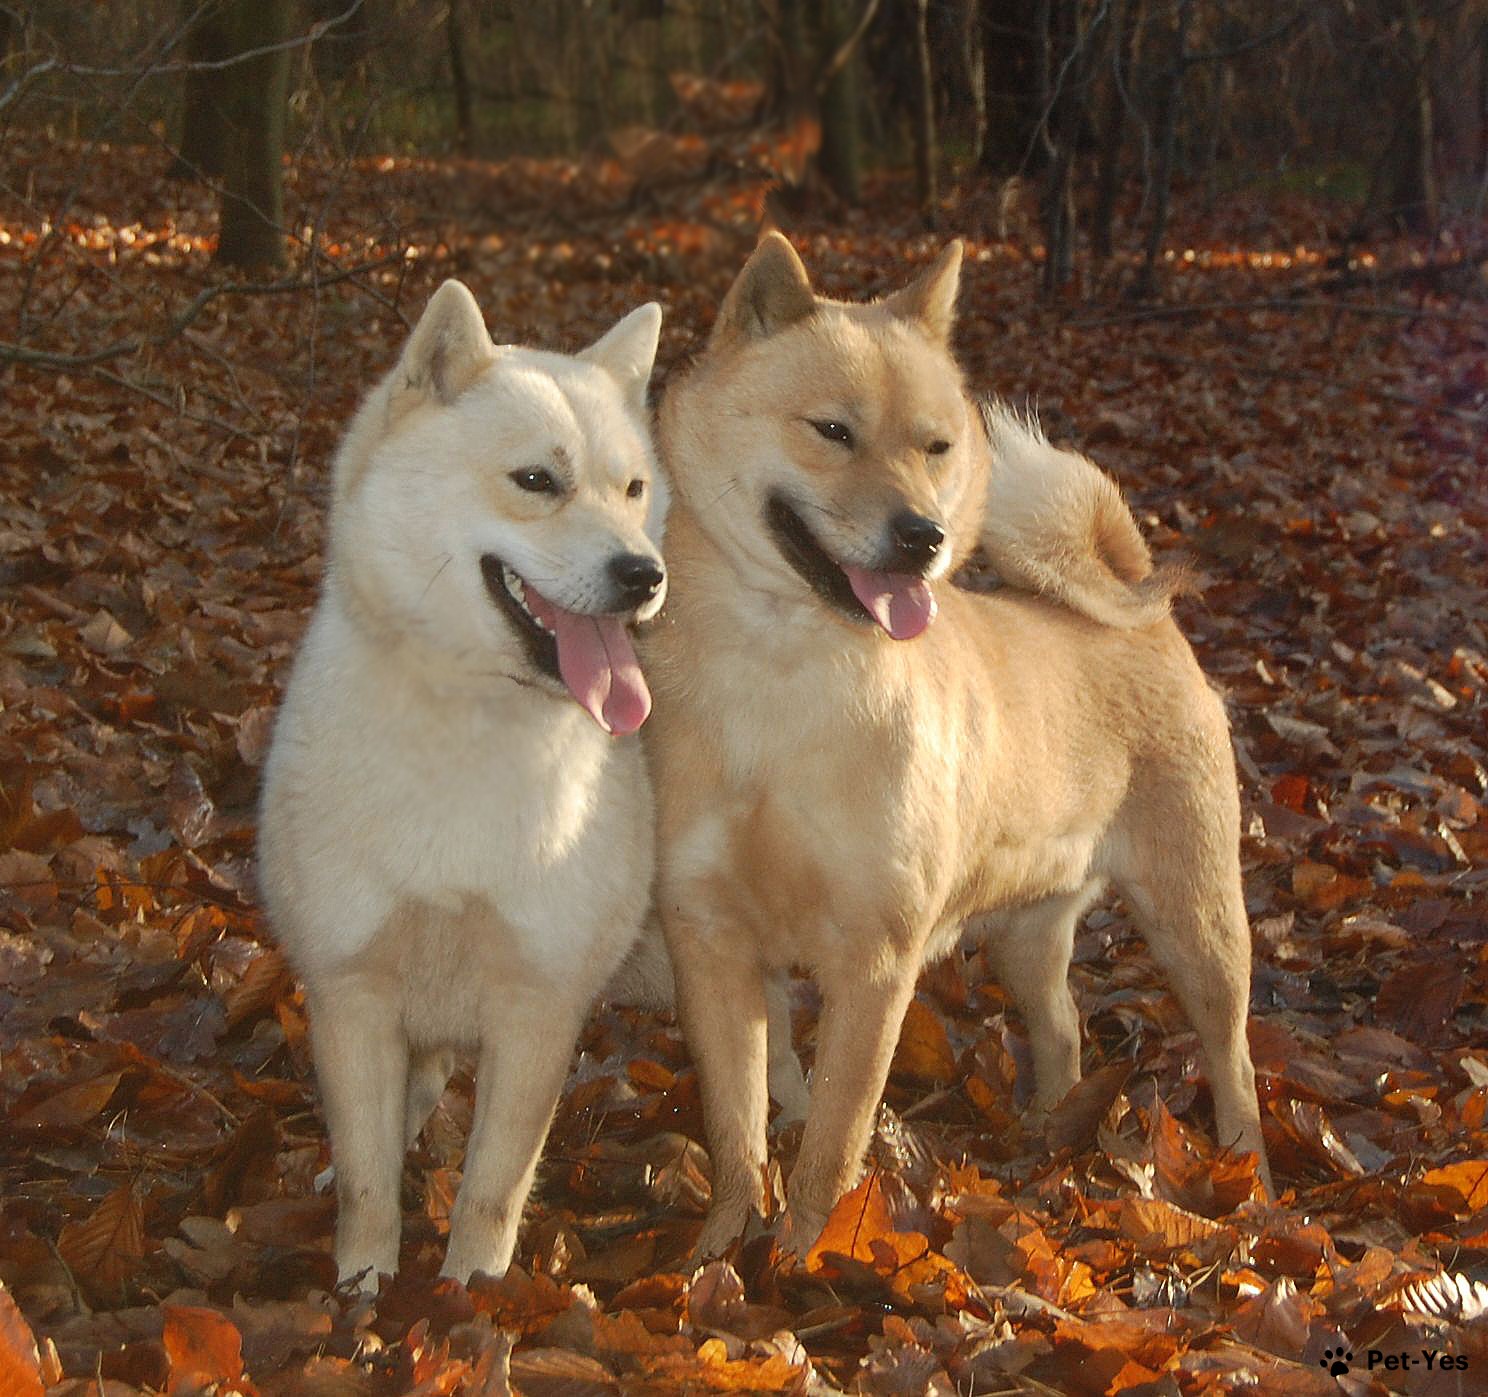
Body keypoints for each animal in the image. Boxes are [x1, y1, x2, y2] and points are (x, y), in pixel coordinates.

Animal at [261, 275, 669, 1291]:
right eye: (537, 481)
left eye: (632, 488)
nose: (644, 574)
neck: (472, 720)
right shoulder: (351, 988)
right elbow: (369, 1179)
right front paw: (363, 1290)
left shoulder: (537, 1006)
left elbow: (492, 1188)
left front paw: (468, 1297)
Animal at [645, 232, 1273, 1255]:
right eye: (832, 431)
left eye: (936, 446)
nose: (924, 536)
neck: (785, 679)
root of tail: (1146, 618)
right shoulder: (713, 947)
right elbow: (738, 1135)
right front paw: (716, 1263)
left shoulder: (873, 962)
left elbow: (831, 1141)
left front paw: (804, 1258)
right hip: (1026, 934)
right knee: (1064, 1031)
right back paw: (1047, 1137)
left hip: (1196, 923)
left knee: (1233, 1053)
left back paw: (1248, 1175)